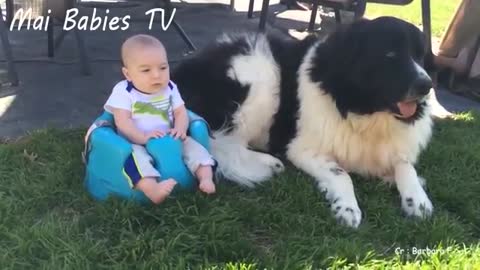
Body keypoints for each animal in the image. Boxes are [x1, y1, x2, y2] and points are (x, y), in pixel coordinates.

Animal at [172, 16, 436, 228]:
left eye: (420, 55)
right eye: (389, 55)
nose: (427, 85)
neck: (364, 110)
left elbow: (405, 166)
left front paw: (418, 199)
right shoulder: (301, 149)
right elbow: (342, 173)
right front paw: (347, 208)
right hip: (261, 80)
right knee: (221, 143)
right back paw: (268, 163)